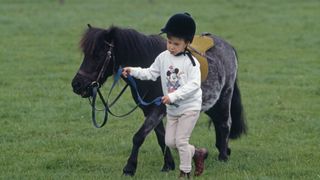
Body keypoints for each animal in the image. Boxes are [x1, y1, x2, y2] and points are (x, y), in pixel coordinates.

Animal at [72, 25, 248, 176]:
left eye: (98, 55)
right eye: (86, 54)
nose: (77, 85)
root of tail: (228, 46)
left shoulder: (158, 109)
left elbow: (139, 136)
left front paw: (129, 168)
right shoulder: (149, 110)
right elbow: (162, 137)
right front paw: (168, 165)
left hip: (225, 95)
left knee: (224, 123)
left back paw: (223, 157)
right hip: (211, 103)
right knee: (218, 122)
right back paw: (222, 151)